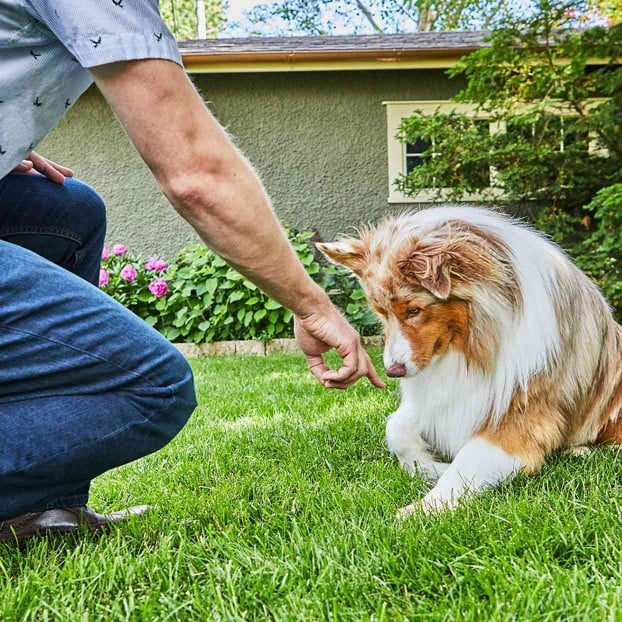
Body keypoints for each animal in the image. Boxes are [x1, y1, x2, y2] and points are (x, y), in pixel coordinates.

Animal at [320, 207, 620, 520]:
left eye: (414, 310)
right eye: (381, 313)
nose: (393, 371)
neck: (471, 347)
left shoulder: (519, 419)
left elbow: (464, 467)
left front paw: (418, 511)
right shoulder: (445, 397)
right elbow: (397, 429)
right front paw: (430, 468)